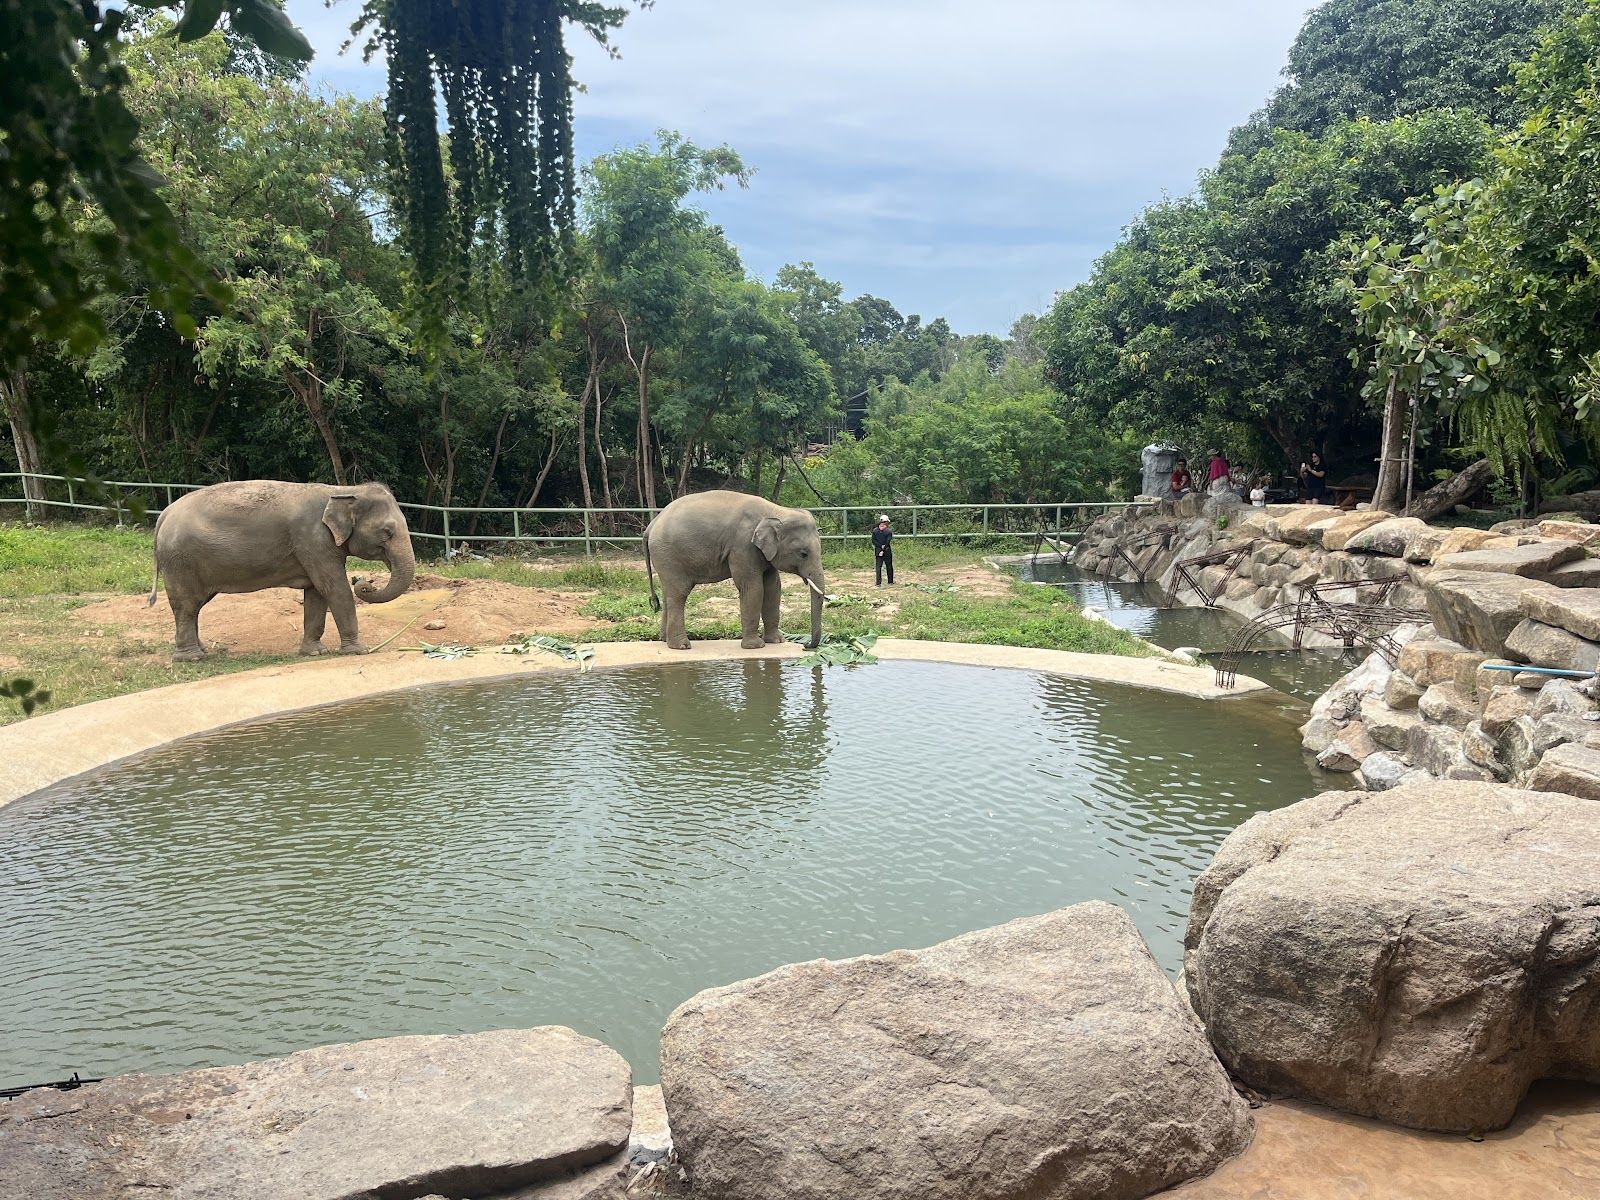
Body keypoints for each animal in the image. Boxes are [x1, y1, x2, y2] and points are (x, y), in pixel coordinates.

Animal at [148, 480, 417, 661]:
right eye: (387, 532)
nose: (364, 582)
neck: (342, 490)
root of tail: (164, 514)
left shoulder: (317, 547)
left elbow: (316, 593)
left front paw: (314, 652)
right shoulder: (314, 541)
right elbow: (334, 588)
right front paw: (359, 651)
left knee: (194, 607)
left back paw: (201, 651)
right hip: (181, 561)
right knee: (187, 605)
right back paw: (192, 658)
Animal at [643, 491, 826, 651]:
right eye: (803, 554)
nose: (805, 645)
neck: (777, 511)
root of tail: (651, 526)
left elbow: (773, 588)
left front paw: (777, 641)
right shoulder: (742, 545)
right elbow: (752, 588)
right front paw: (755, 646)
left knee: (668, 594)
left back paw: (665, 640)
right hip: (668, 555)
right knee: (679, 593)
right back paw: (681, 646)